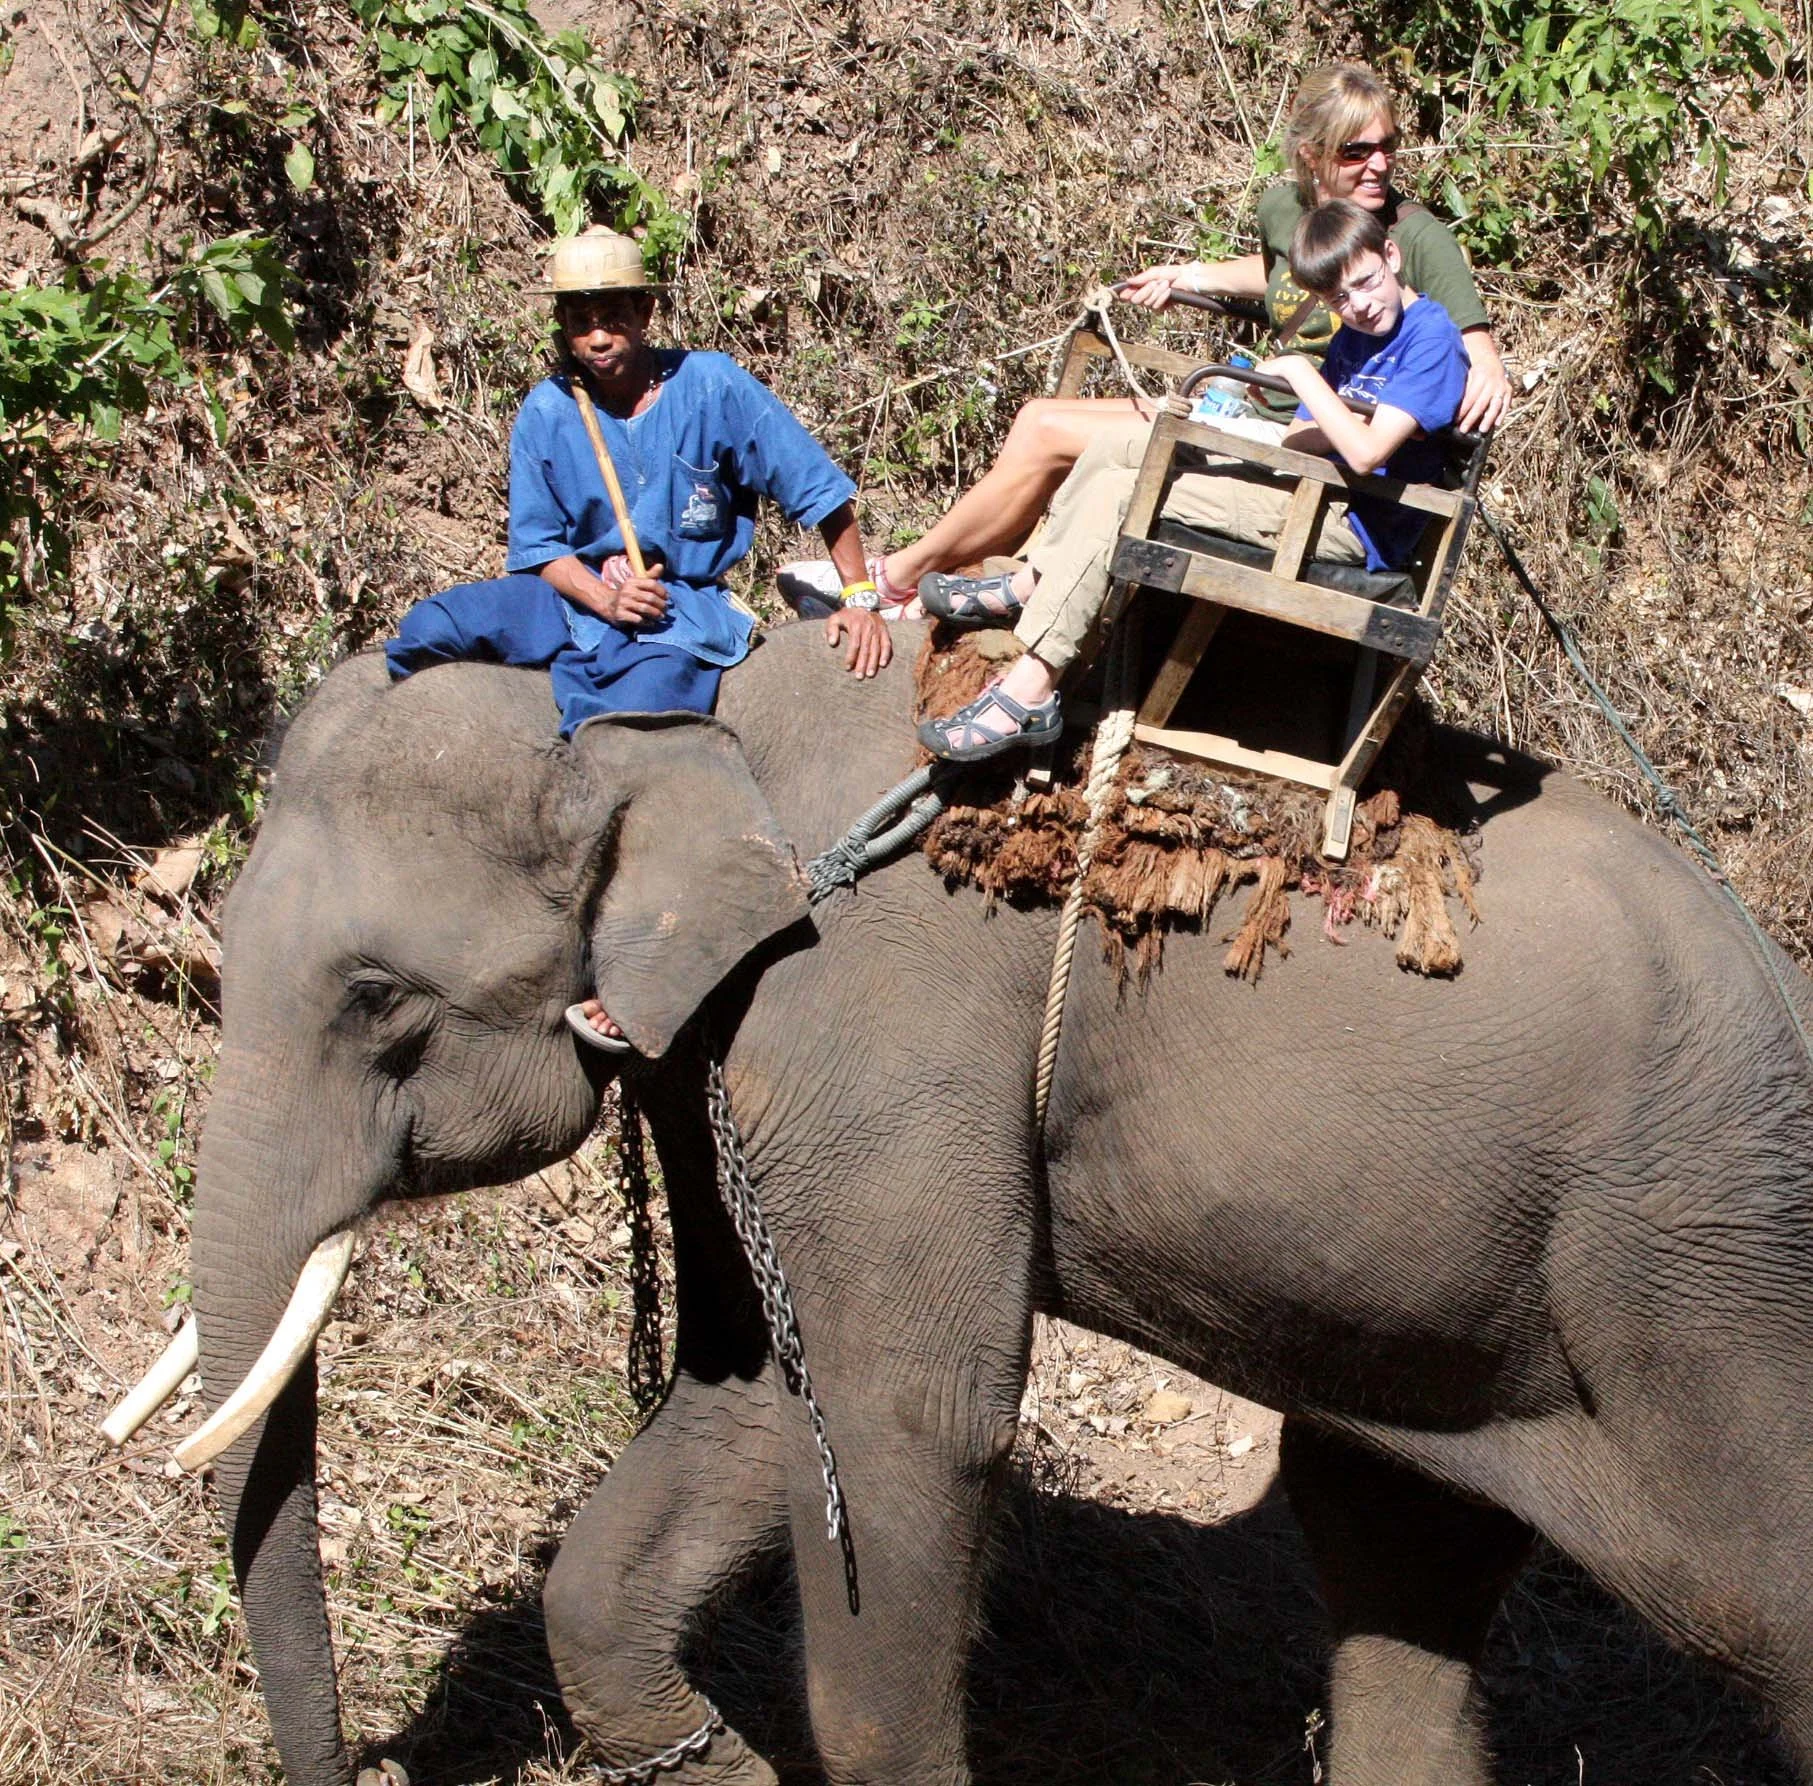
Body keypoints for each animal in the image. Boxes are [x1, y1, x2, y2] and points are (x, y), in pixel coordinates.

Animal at [114, 616, 1813, 1786]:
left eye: (378, 1000)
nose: (360, 1765)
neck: (683, 704)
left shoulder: (865, 1025)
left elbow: (904, 1418)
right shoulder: (732, 1074)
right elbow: (754, 1392)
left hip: (1698, 1274)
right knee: (1397, 1552)